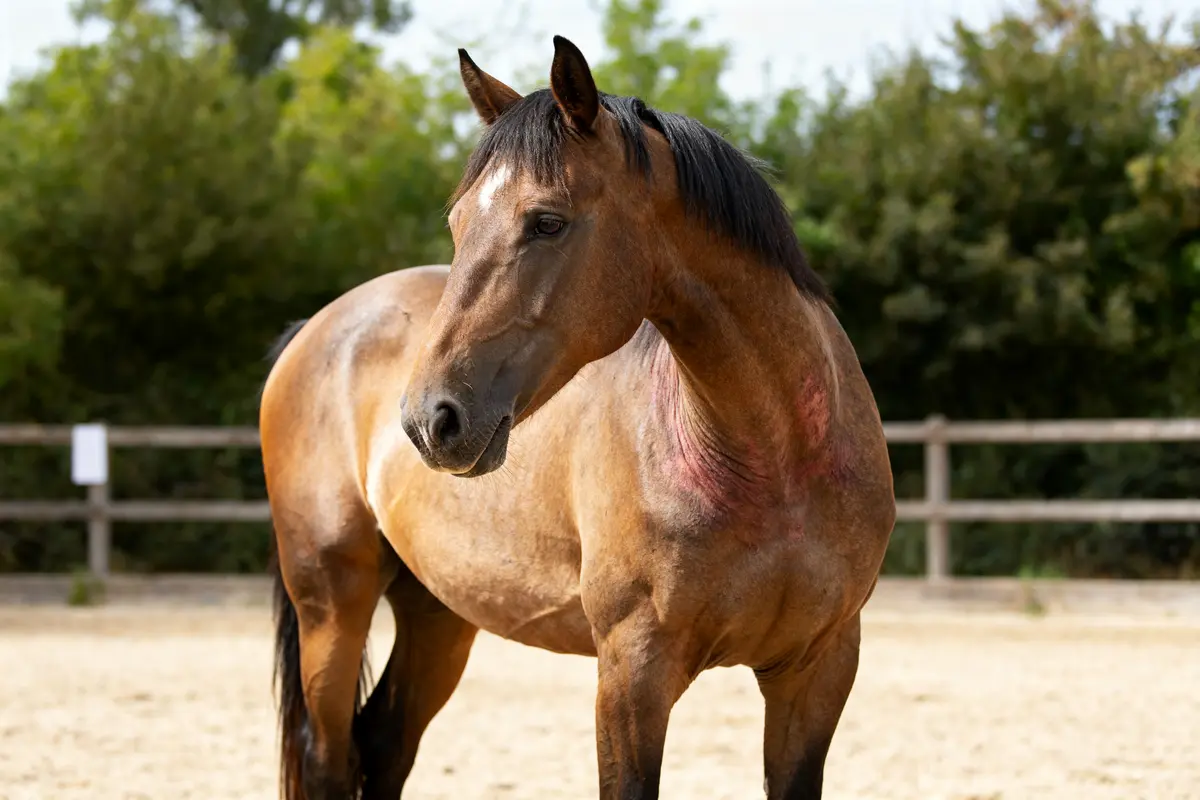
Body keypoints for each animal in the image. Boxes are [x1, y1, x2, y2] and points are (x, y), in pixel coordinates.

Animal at [260, 35, 895, 800]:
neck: (775, 459)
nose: (430, 420)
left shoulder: (818, 670)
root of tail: (316, 329)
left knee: (384, 742)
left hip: (438, 611)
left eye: (547, 221)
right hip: (332, 602)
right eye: (458, 224)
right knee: (329, 756)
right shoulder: (632, 675)